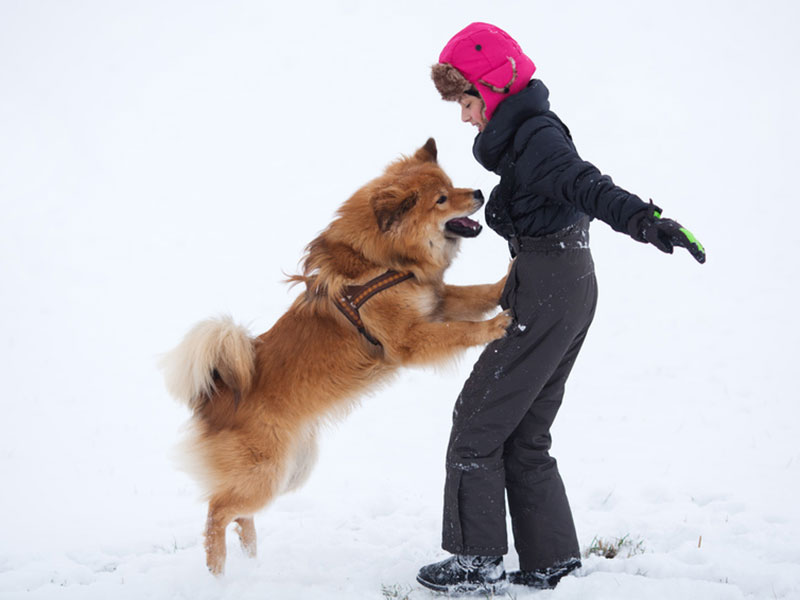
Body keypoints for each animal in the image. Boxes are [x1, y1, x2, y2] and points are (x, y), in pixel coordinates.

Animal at [162, 138, 510, 576]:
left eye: (451, 185)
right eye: (442, 199)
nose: (479, 193)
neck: (384, 261)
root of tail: (215, 397)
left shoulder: (438, 301)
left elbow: (476, 294)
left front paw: (506, 280)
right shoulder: (411, 339)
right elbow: (461, 330)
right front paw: (496, 325)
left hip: (292, 469)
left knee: (239, 514)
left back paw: (251, 559)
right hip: (267, 474)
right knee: (217, 511)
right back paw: (219, 573)